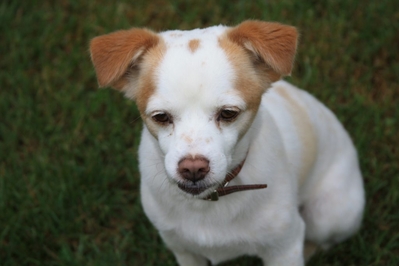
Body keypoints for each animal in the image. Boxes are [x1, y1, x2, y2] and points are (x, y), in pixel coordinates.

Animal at [90, 19, 366, 264]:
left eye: (228, 113)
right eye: (160, 117)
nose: (193, 168)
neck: (210, 203)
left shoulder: (284, 248)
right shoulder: (182, 249)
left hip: (328, 215)